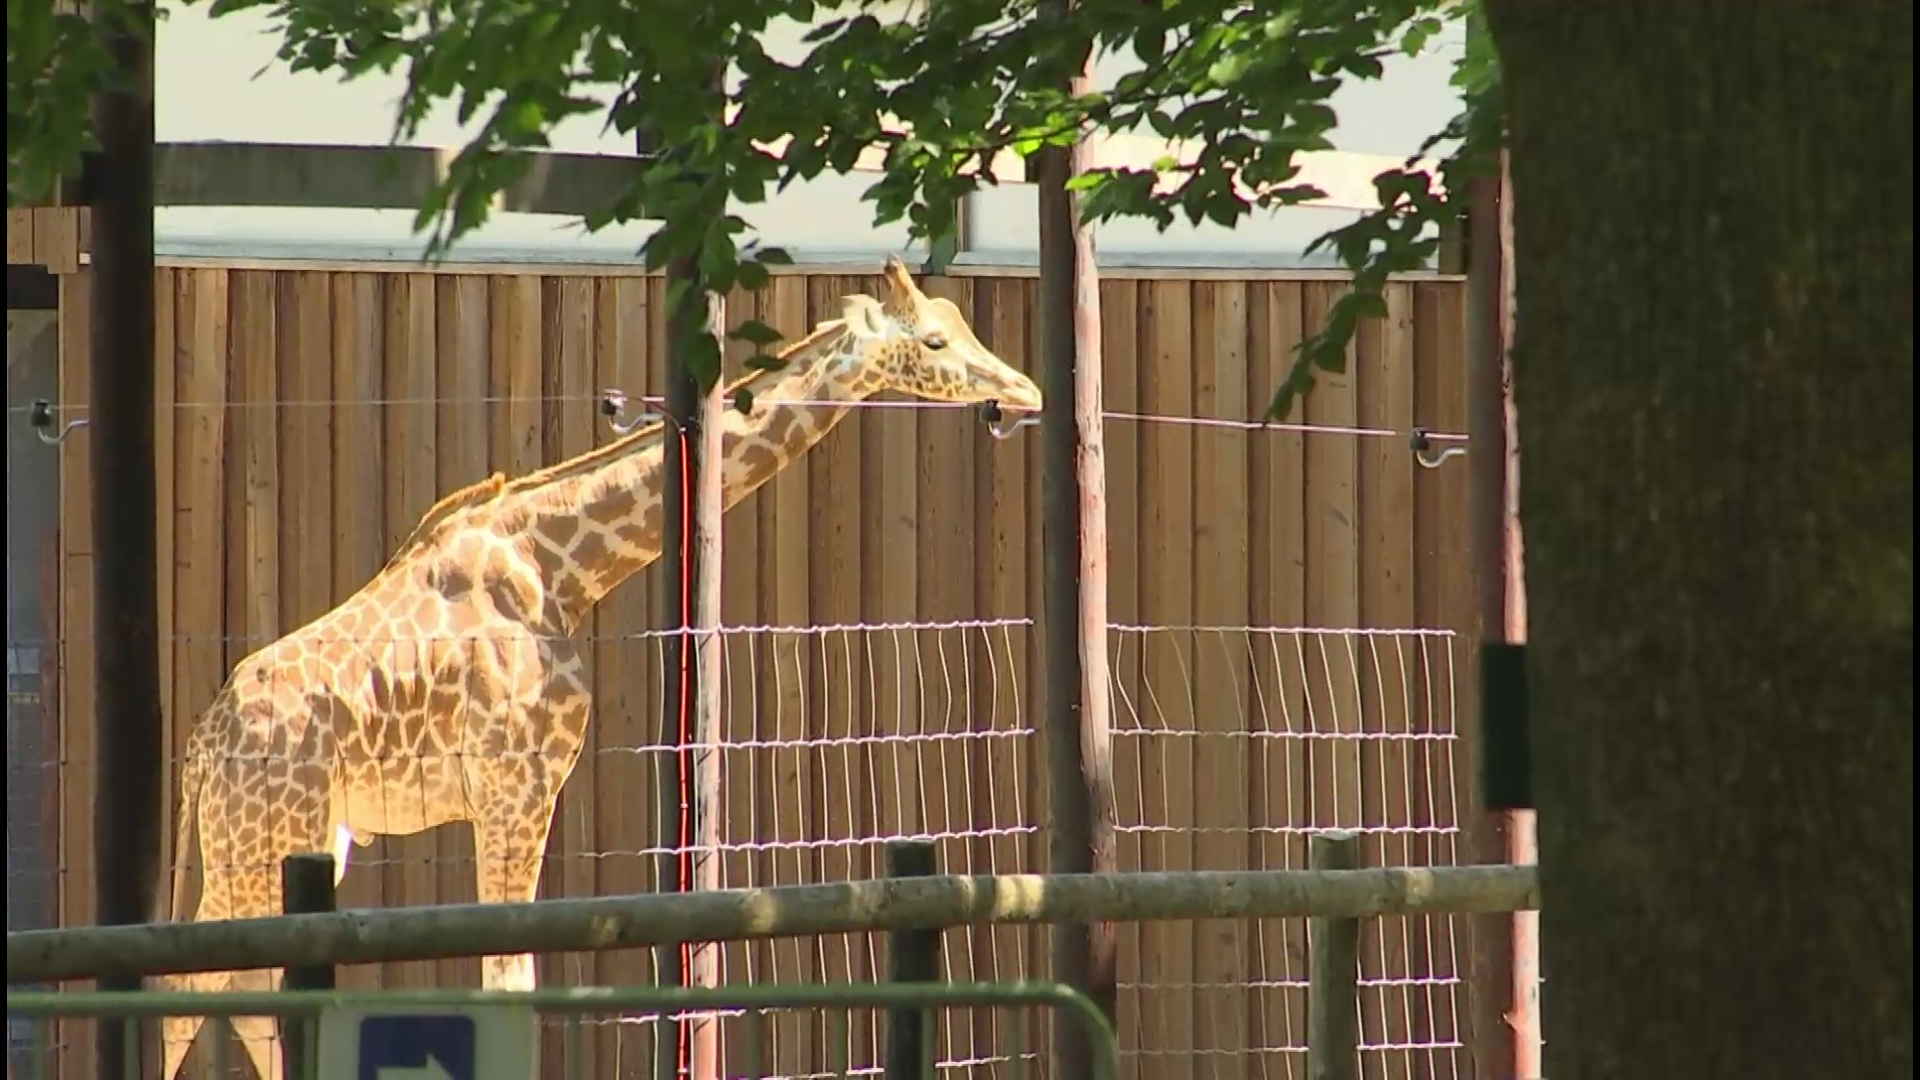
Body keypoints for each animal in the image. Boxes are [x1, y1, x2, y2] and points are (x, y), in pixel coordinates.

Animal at [157, 255, 1044, 1068]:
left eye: (962, 322)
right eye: (935, 339)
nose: (1027, 392)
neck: (559, 567)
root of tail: (200, 748)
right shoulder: (518, 786)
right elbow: (508, 983)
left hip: (296, 839)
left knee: (234, 987)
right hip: (265, 838)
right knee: (191, 985)